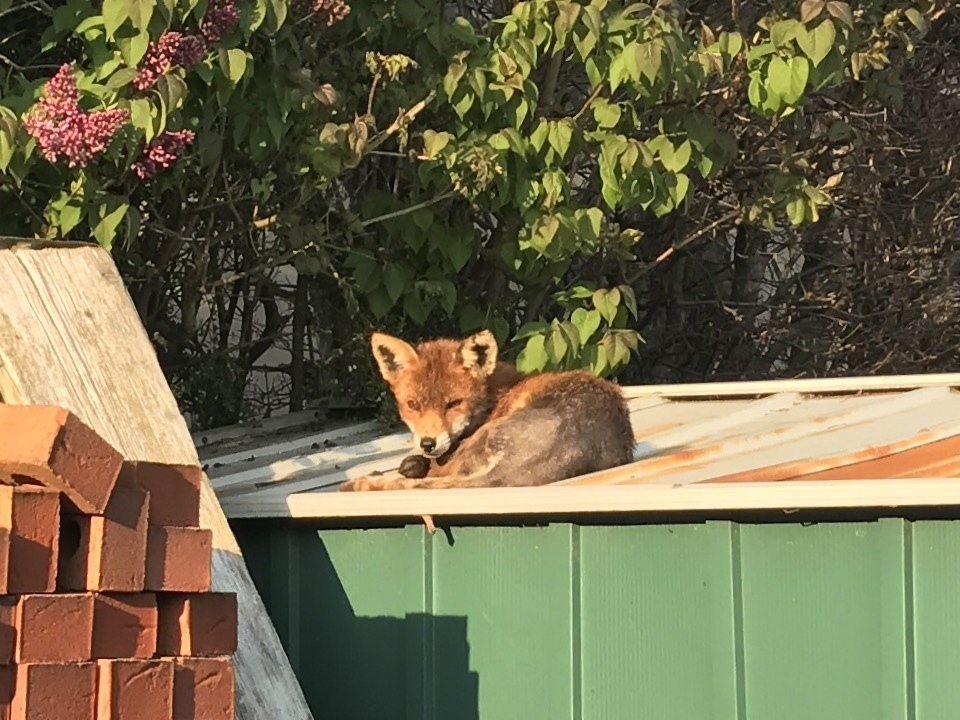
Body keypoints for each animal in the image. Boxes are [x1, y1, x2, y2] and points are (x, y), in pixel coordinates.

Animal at [339, 329, 635, 491]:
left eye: (453, 404)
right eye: (413, 405)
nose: (428, 443)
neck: (495, 398)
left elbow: (427, 470)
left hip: (479, 443)